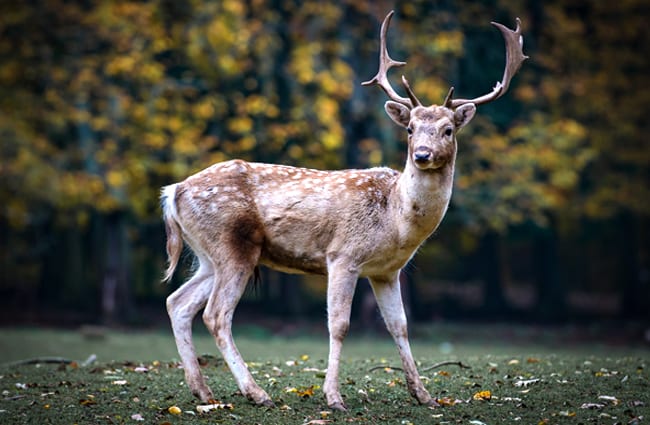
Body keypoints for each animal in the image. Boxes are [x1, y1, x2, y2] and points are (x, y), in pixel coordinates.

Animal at [161, 11, 528, 410]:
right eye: (411, 129)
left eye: (448, 130)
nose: (422, 155)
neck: (395, 220)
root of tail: (174, 191)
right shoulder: (342, 255)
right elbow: (339, 325)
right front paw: (334, 397)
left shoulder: (387, 271)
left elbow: (400, 326)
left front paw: (424, 394)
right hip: (232, 245)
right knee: (215, 314)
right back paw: (257, 393)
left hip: (209, 254)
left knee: (177, 302)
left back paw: (203, 391)